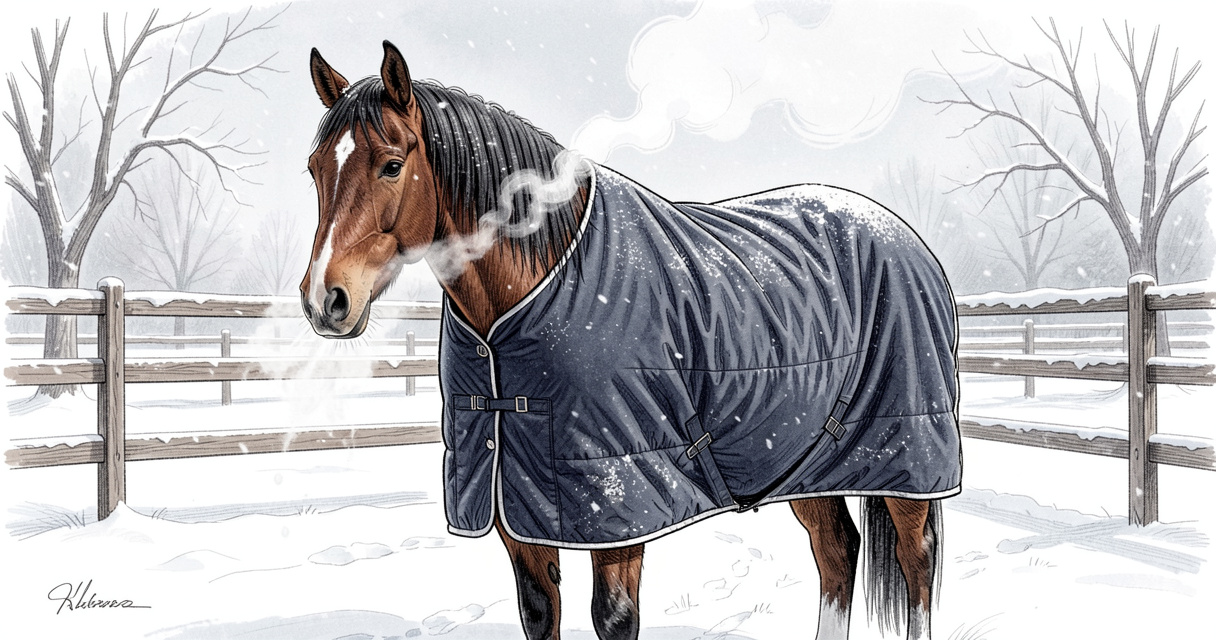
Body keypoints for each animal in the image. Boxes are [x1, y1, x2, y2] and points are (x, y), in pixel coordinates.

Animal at [300, 41, 961, 640]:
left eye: (391, 164)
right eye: (314, 169)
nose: (325, 300)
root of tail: (904, 237)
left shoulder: (620, 512)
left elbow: (613, 619)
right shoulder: (516, 508)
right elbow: (539, 613)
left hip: (909, 455)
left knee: (916, 560)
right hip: (803, 460)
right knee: (837, 550)